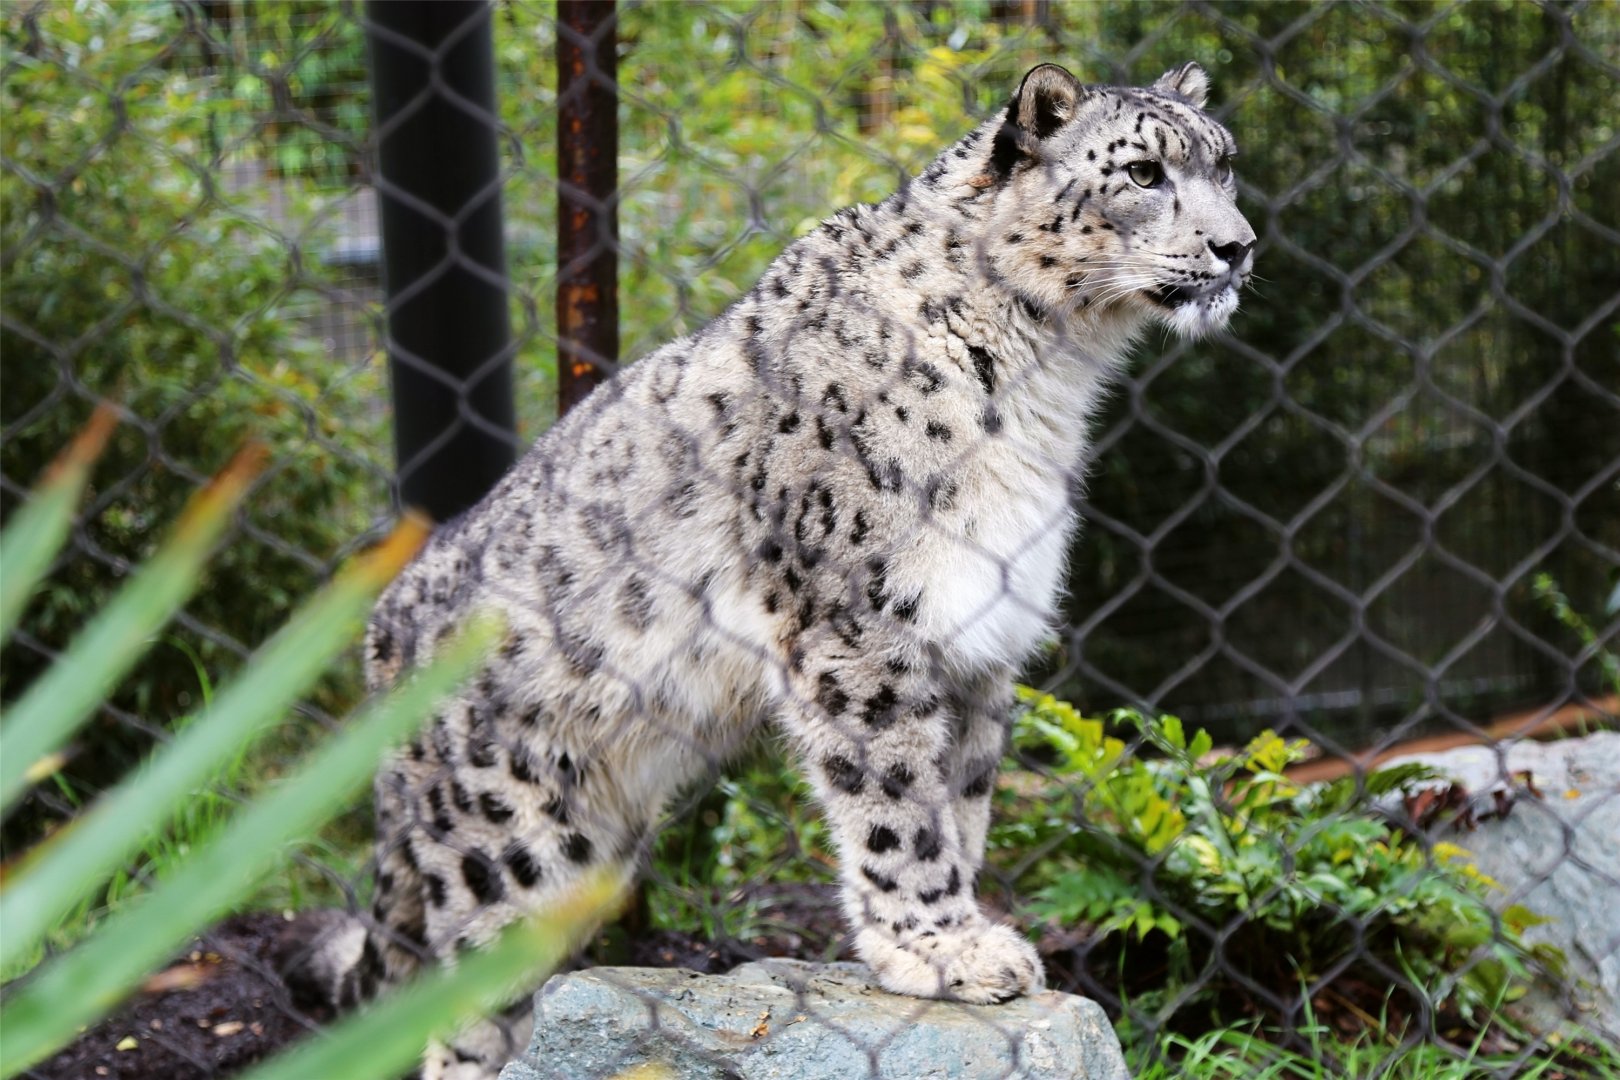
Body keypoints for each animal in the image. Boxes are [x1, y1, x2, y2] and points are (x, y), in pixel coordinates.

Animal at [282, 60, 1254, 1079]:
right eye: (1143, 172)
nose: (1238, 246)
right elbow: (899, 806)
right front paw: (940, 948)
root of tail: (382, 639)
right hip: (506, 854)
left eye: (1224, 166)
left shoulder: (982, 641)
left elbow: (961, 799)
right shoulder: (862, 632)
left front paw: (959, 931)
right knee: (457, 1017)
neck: (1050, 383)